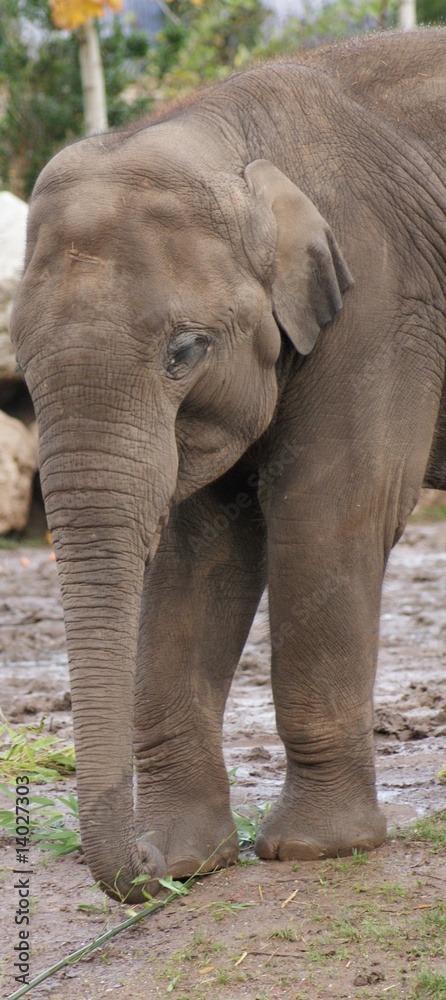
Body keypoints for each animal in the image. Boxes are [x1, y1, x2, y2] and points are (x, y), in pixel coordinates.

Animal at [10, 28, 446, 903]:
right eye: (23, 370)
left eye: (185, 352)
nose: (142, 870)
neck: (231, 140)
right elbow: (196, 546)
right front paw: (188, 860)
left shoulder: (384, 300)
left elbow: (330, 510)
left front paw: (316, 850)